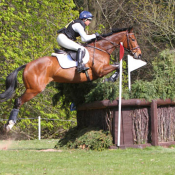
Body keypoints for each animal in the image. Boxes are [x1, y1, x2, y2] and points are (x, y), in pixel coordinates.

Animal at [0, 27, 142, 131]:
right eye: (133, 39)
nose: (138, 55)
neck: (101, 48)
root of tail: (28, 65)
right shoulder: (100, 70)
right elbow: (118, 66)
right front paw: (109, 80)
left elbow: (118, 66)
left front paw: (110, 79)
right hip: (34, 89)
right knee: (18, 101)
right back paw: (9, 125)